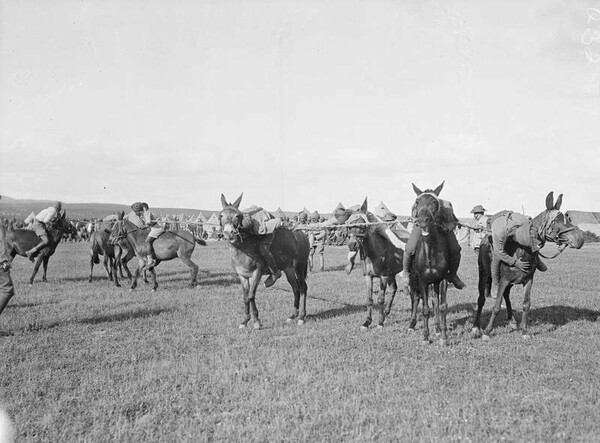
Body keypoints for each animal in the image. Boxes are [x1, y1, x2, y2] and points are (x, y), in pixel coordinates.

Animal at [218, 194, 310, 330]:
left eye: (237, 216)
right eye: (221, 215)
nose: (229, 233)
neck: (244, 248)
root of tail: (303, 234)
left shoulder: (256, 273)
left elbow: (251, 295)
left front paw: (256, 321)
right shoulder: (242, 276)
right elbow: (245, 297)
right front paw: (245, 321)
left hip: (299, 267)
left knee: (303, 288)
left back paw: (301, 317)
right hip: (289, 269)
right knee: (296, 288)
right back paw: (292, 315)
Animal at [346, 198, 404, 330]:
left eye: (362, 224)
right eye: (349, 225)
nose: (352, 245)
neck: (374, 253)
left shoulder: (383, 277)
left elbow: (380, 299)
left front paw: (380, 322)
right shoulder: (368, 277)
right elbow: (369, 299)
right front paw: (367, 322)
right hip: (392, 274)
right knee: (394, 289)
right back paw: (387, 311)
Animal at [410, 182, 452, 346]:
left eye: (434, 202)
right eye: (417, 202)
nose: (422, 221)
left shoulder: (443, 279)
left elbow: (442, 306)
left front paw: (444, 337)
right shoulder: (422, 280)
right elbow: (425, 309)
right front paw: (425, 337)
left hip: (435, 282)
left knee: (435, 300)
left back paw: (438, 327)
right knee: (416, 298)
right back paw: (412, 323)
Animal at [472, 191, 584, 340]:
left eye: (567, 218)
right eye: (556, 221)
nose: (580, 239)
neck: (521, 250)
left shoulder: (528, 279)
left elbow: (526, 304)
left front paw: (524, 331)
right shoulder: (504, 280)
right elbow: (496, 306)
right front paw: (487, 332)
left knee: (506, 295)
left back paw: (512, 322)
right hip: (483, 272)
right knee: (481, 299)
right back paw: (476, 328)